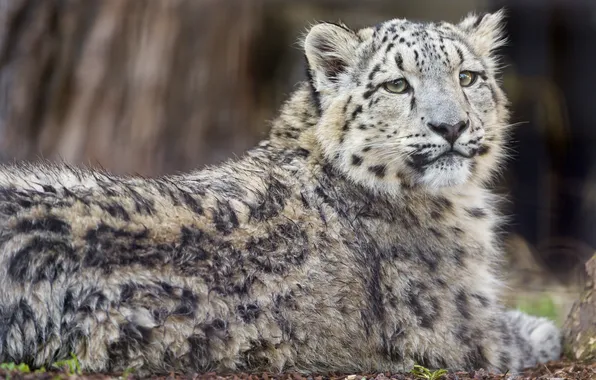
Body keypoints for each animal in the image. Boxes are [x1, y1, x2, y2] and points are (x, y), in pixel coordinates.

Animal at [0, 9, 560, 378]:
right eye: (397, 85)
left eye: (468, 77)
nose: (451, 126)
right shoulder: (466, 329)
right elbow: (520, 336)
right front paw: (548, 329)